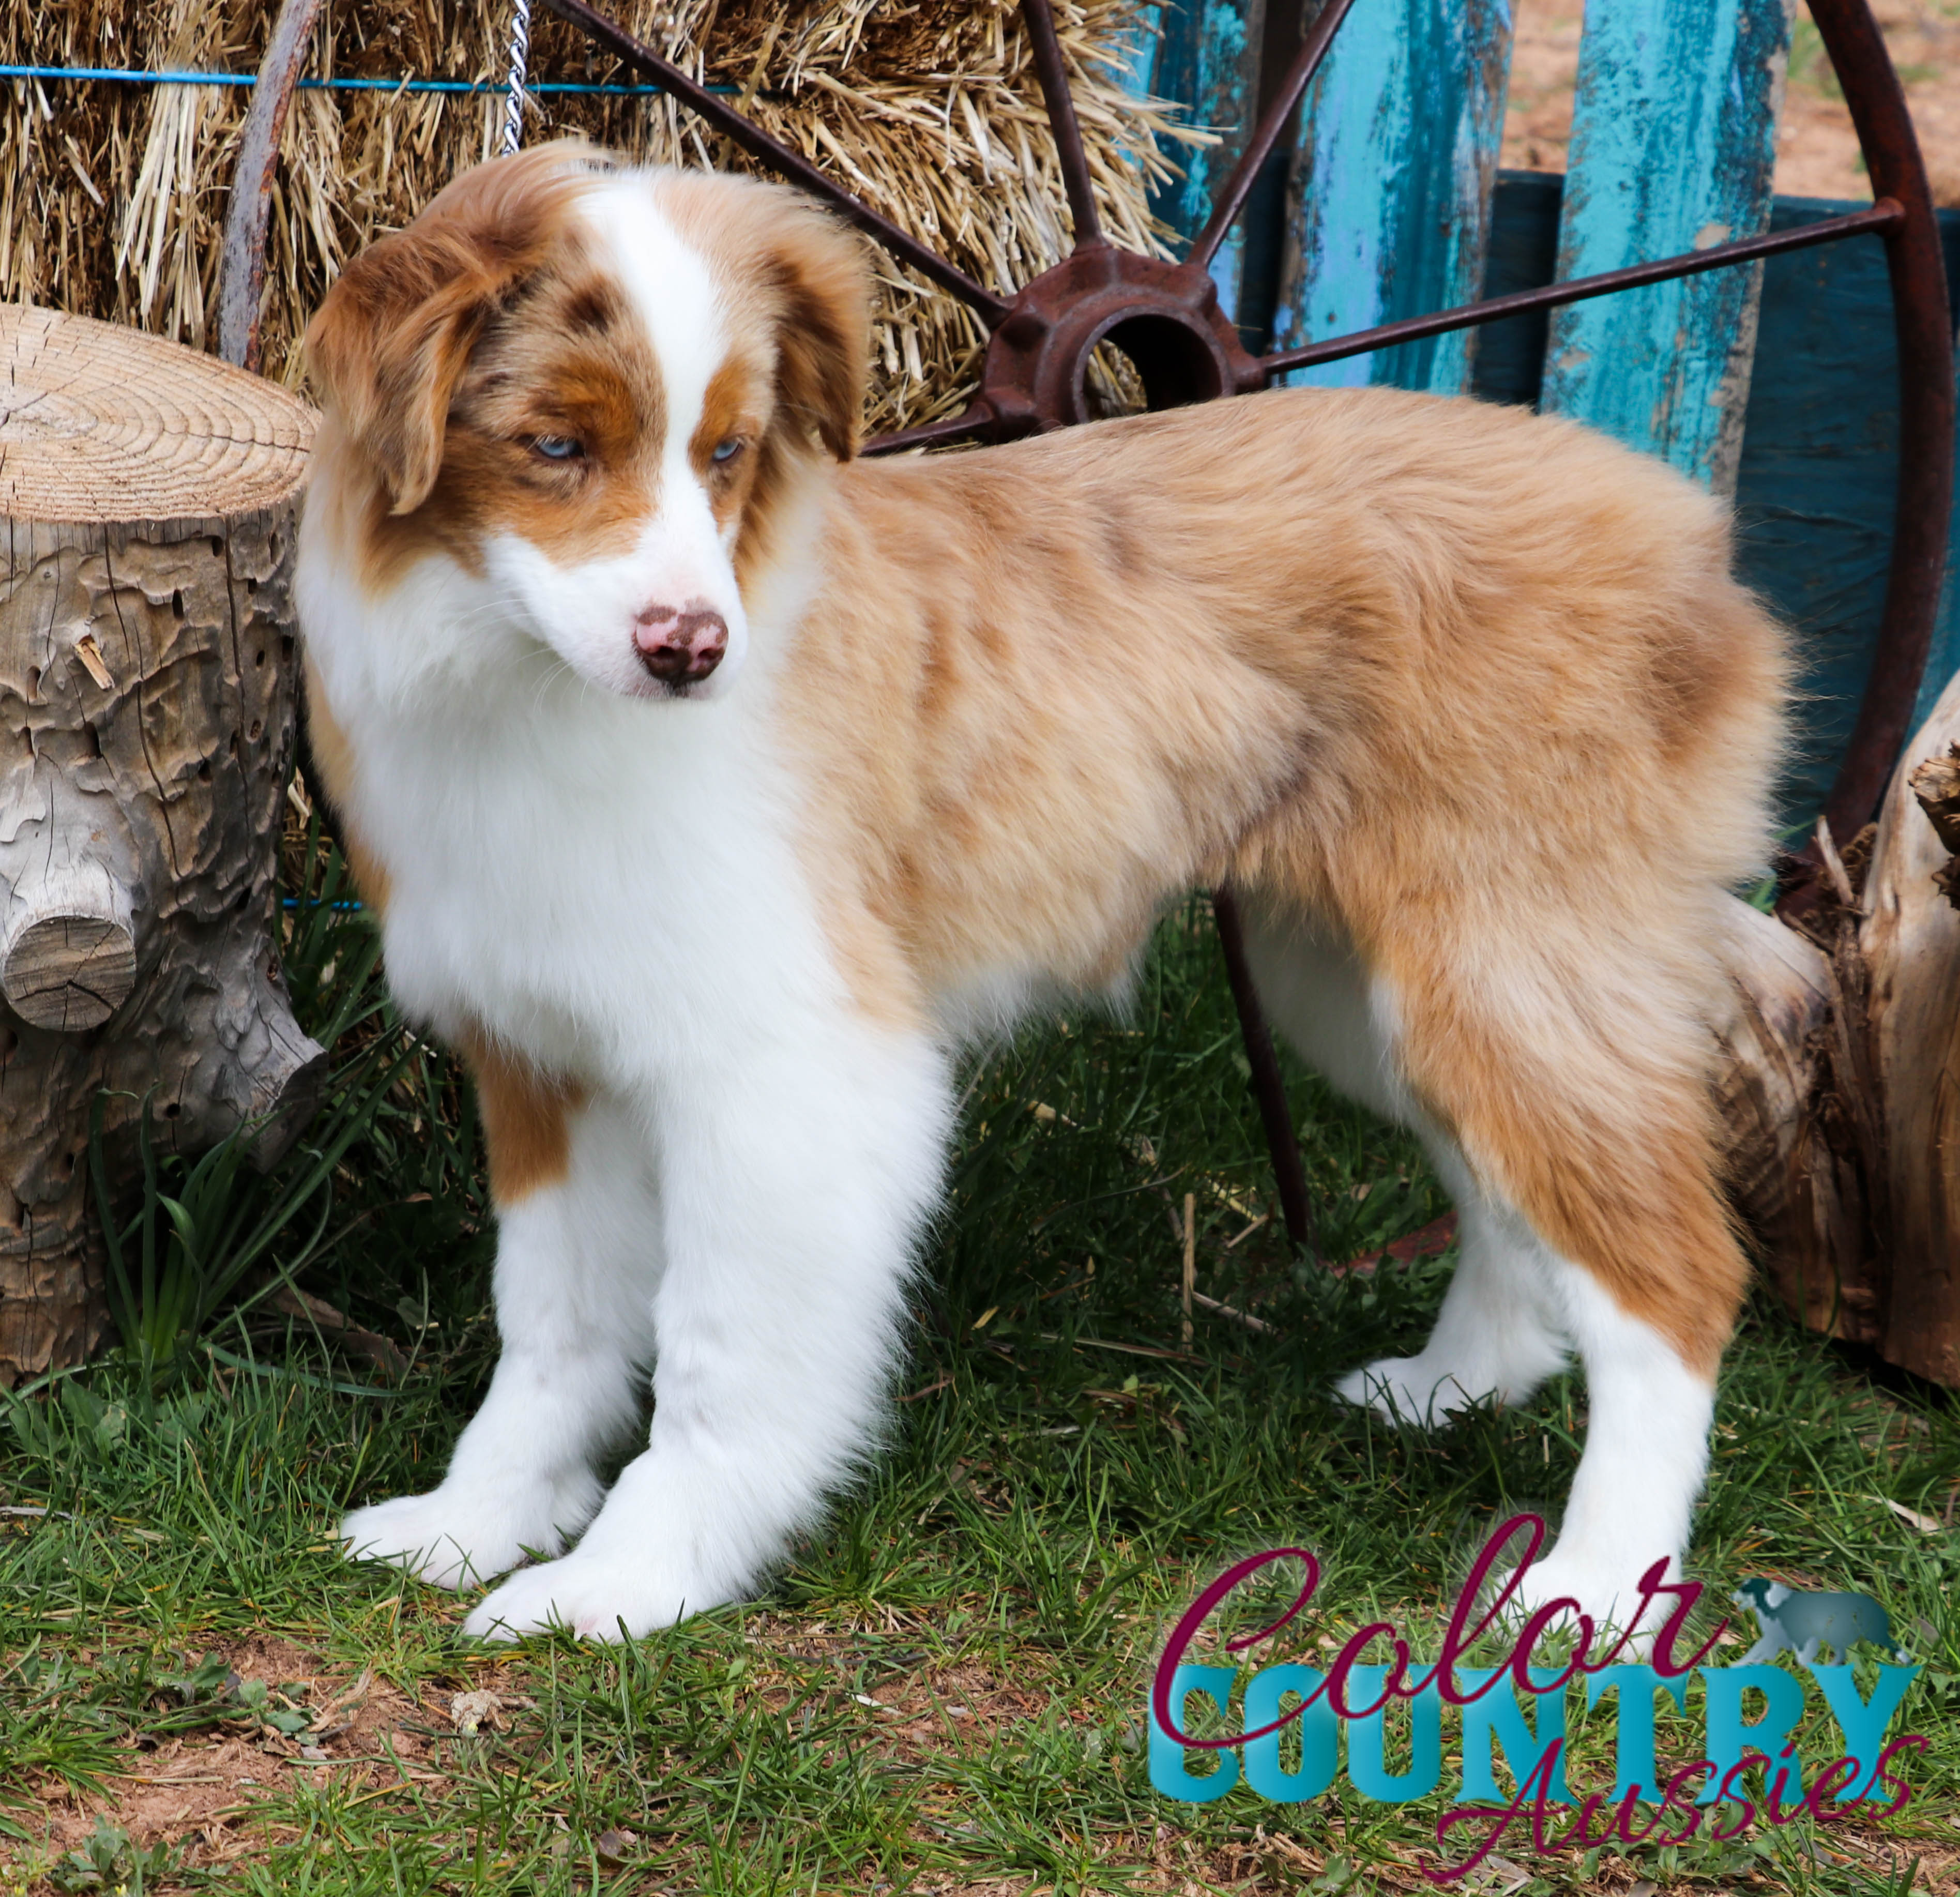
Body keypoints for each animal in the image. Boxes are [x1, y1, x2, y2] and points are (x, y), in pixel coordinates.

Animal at [298, 141, 1787, 1638]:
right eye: (554, 446)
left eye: (725, 452)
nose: (691, 650)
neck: (530, 690)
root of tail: (1692, 539)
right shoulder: (543, 1051)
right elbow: (551, 1324)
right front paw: (483, 1515)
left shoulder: (786, 1071)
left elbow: (719, 1357)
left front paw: (632, 1576)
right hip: (1363, 984)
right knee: (1502, 1196)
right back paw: (1453, 1385)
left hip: (1507, 962)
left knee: (1670, 1273)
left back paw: (1599, 1585)